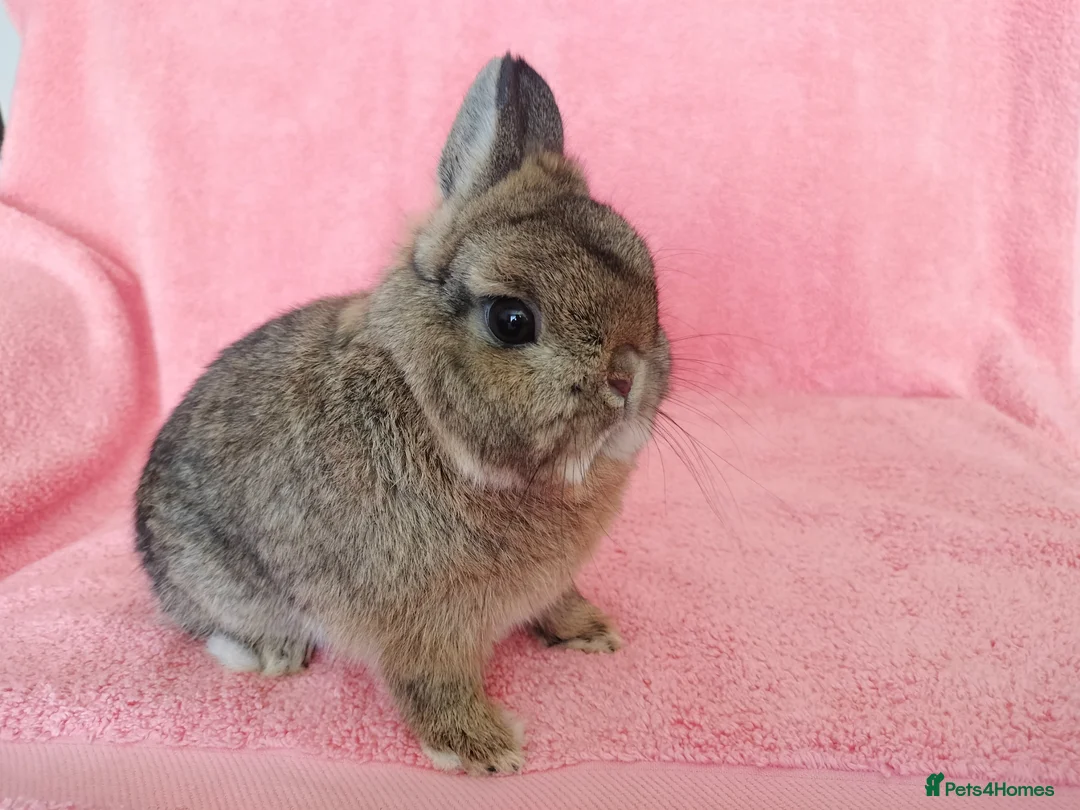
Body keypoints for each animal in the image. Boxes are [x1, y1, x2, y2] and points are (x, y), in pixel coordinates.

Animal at [135, 53, 671, 775]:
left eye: (648, 275)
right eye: (511, 320)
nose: (627, 378)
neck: (430, 414)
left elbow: (558, 602)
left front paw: (590, 633)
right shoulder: (423, 625)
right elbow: (432, 684)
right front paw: (485, 750)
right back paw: (273, 653)